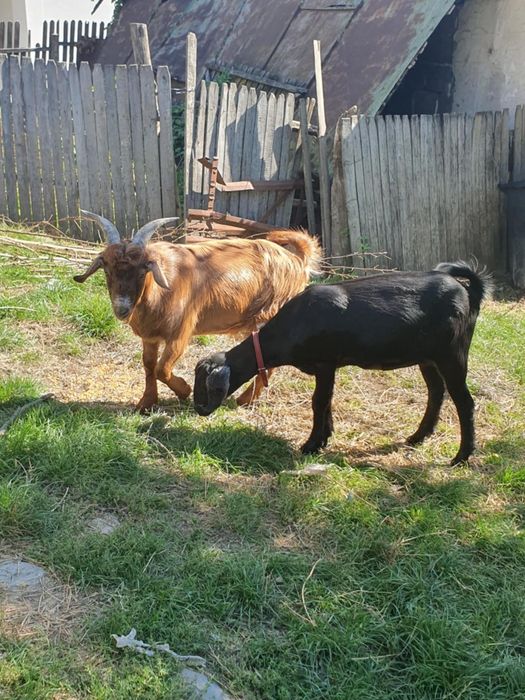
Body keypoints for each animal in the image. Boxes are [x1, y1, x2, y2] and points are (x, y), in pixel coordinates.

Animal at [73, 211, 321, 412]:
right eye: (106, 267)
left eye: (144, 268)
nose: (122, 308)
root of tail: (297, 260)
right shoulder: (150, 337)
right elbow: (149, 366)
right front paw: (146, 403)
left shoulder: (181, 332)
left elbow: (163, 368)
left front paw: (184, 390)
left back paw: (244, 400)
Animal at [194, 263, 492, 465]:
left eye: (206, 385)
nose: (199, 410)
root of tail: (467, 290)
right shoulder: (329, 367)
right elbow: (327, 401)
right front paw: (325, 436)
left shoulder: (325, 363)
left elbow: (319, 401)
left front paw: (311, 444)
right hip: (427, 358)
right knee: (436, 392)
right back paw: (418, 437)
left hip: (452, 354)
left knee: (464, 402)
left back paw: (462, 456)